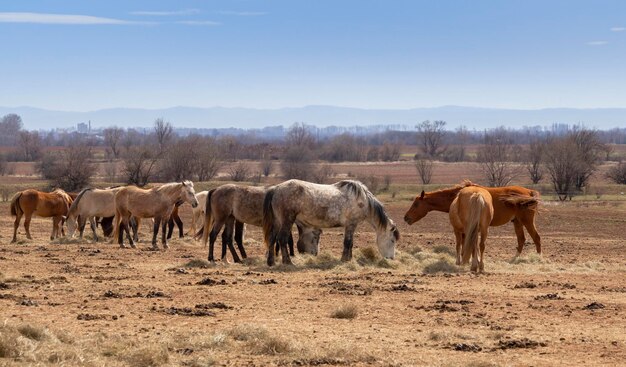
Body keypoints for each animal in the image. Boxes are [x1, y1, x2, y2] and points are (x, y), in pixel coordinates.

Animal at [402, 181, 540, 256]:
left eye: (416, 204)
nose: (406, 217)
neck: (457, 197)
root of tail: (529, 192)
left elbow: (464, 243)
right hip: (517, 222)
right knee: (521, 240)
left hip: (527, 221)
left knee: (536, 238)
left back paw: (539, 259)